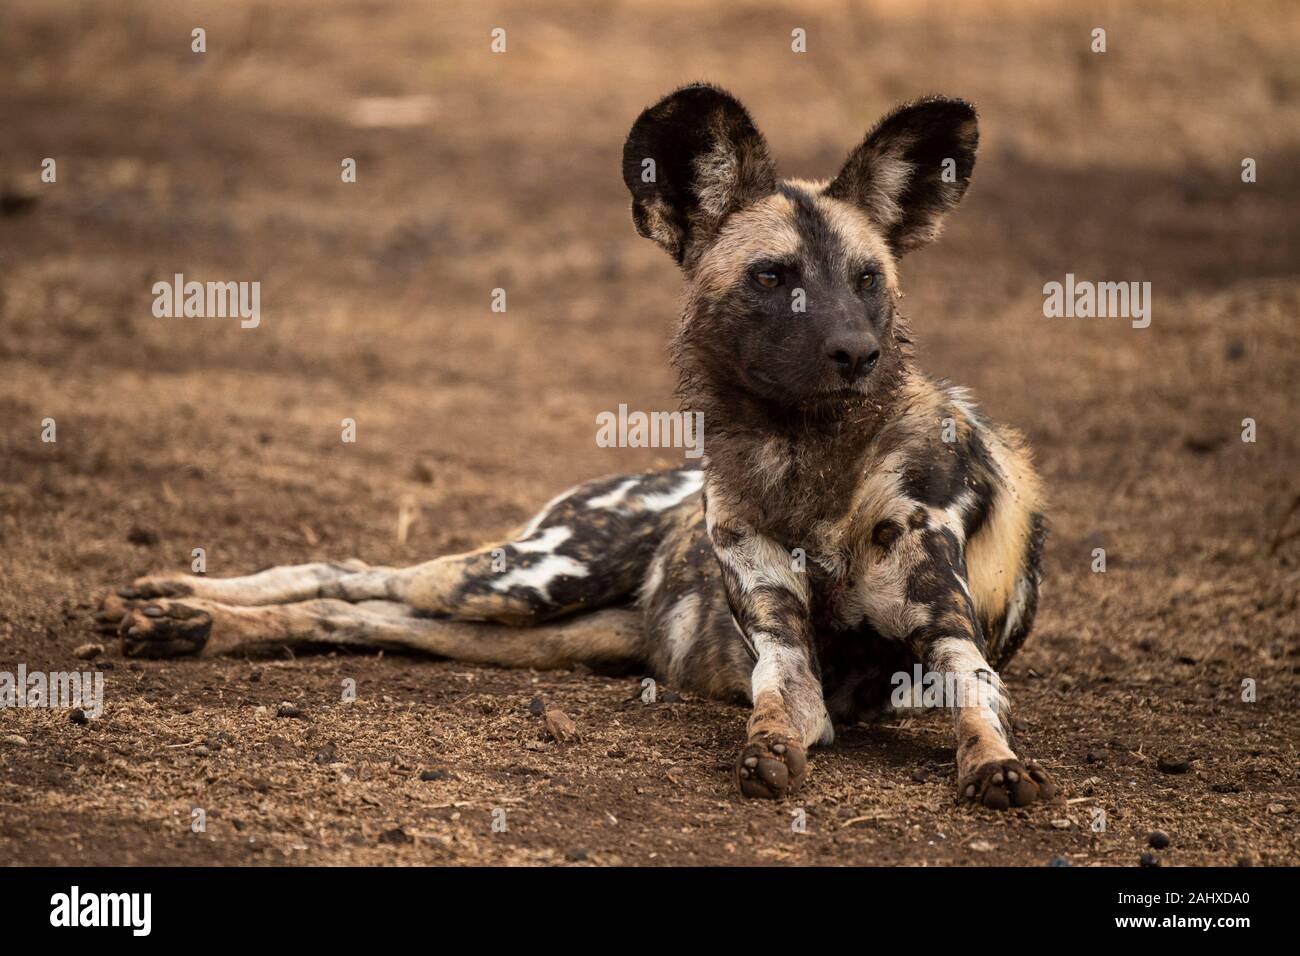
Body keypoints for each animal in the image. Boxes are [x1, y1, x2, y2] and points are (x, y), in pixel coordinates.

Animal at [98, 87, 1055, 806]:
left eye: (866, 281)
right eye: (773, 276)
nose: (855, 353)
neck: (808, 462)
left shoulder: (951, 640)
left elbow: (976, 700)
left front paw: (995, 766)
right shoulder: (784, 658)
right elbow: (779, 711)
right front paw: (768, 753)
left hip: (543, 626)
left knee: (363, 615)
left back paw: (186, 624)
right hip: (527, 578)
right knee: (355, 572)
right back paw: (173, 604)